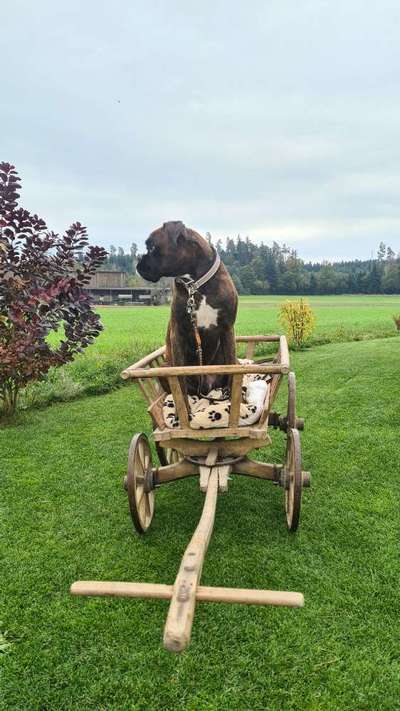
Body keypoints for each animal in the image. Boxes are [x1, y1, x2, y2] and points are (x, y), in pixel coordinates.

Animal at [136, 220, 239, 394]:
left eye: (152, 247)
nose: (137, 265)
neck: (196, 285)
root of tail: (205, 387)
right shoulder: (178, 333)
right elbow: (180, 382)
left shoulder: (227, 329)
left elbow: (231, 368)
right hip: (164, 366)